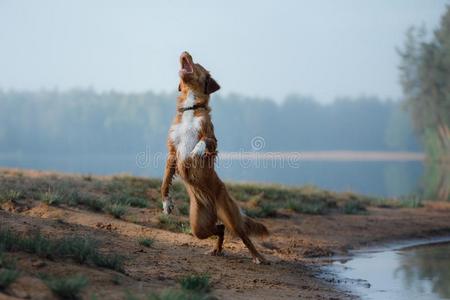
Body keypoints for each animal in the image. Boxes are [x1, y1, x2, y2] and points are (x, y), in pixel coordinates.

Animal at [161, 52, 268, 264]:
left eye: (197, 63)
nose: (185, 52)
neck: (190, 108)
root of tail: (213, 207)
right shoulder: (172, 152)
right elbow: (165, 181)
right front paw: (166, 202)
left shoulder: (212, 139)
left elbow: (202, 142)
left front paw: (194, 153)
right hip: (199, 225)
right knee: (220, 228)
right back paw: (217, 249)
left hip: (229, 214)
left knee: (242, 235)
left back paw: (258, 257)